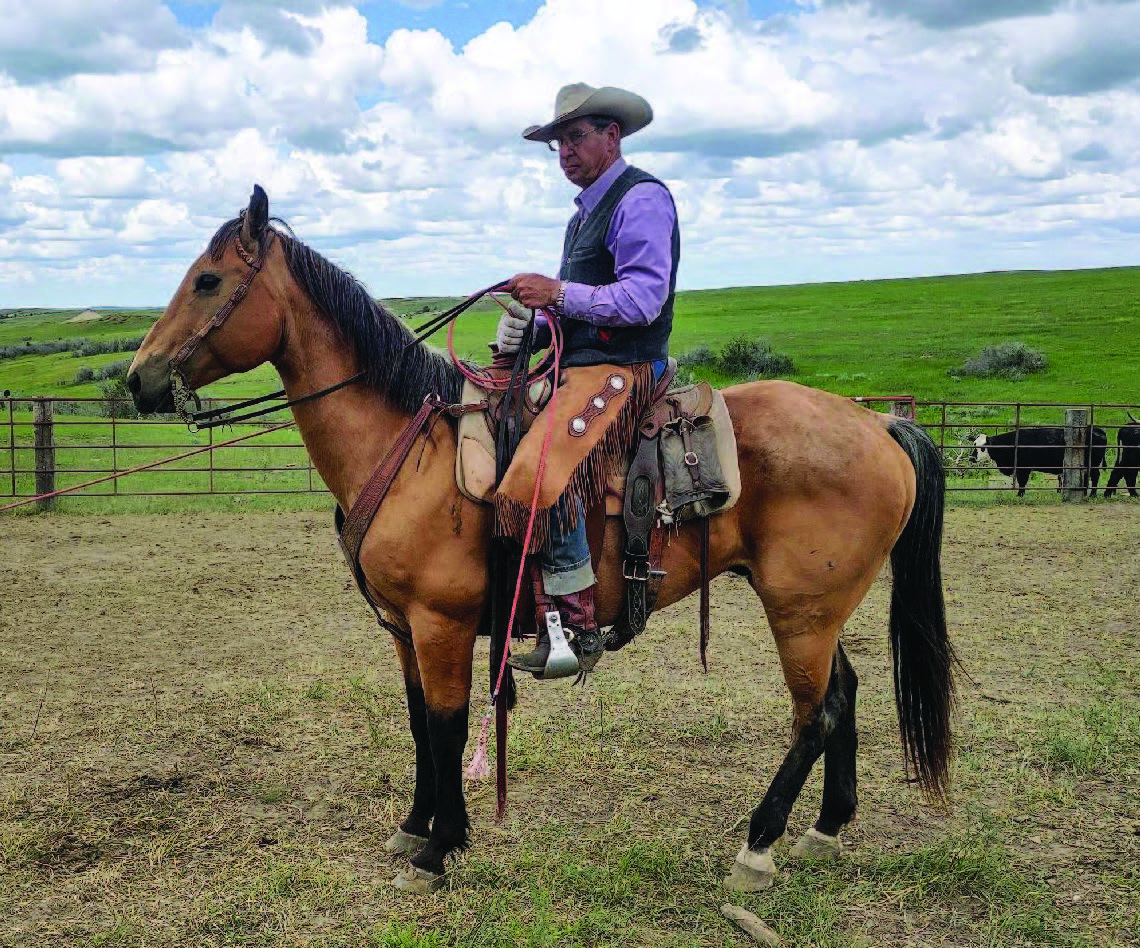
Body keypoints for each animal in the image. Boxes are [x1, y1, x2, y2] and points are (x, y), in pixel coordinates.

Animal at [128, 185, 955, 894]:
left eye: (207, 280)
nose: (138, 379)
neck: (408, 451)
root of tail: (878, 424)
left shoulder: (441, 624)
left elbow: (447, 724)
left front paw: (439, 848)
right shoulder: (403, 630)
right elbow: (417, 722)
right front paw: (414, 825)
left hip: (801, 611)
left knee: (817, 711)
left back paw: (758, 844)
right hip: (810, 607)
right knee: (845, 692)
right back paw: (825, 828)